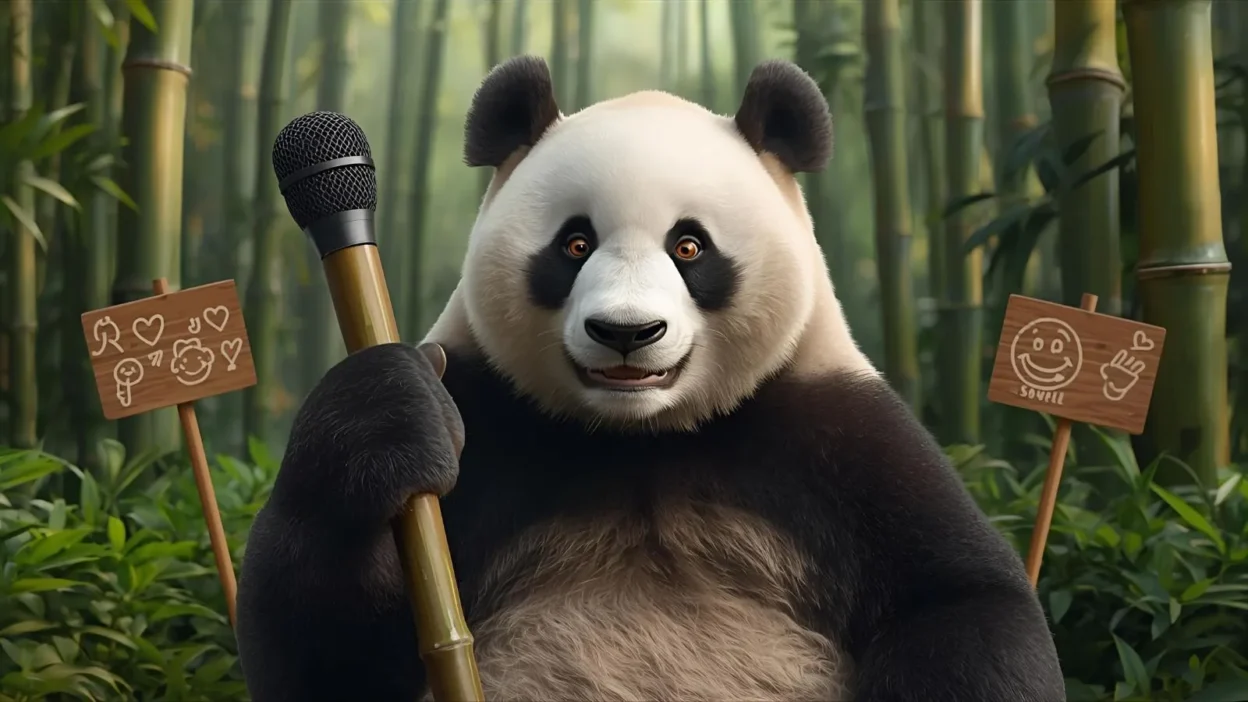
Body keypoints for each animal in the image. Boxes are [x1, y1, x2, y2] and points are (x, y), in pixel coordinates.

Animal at [235, 55, 1065, 702]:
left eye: (689, 246)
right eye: (574, 243)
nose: (627, 332)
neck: (642, 436)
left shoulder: (834, 431)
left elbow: (962, 600)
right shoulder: (489, 411)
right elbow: (327, 644)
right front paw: (391, 416)